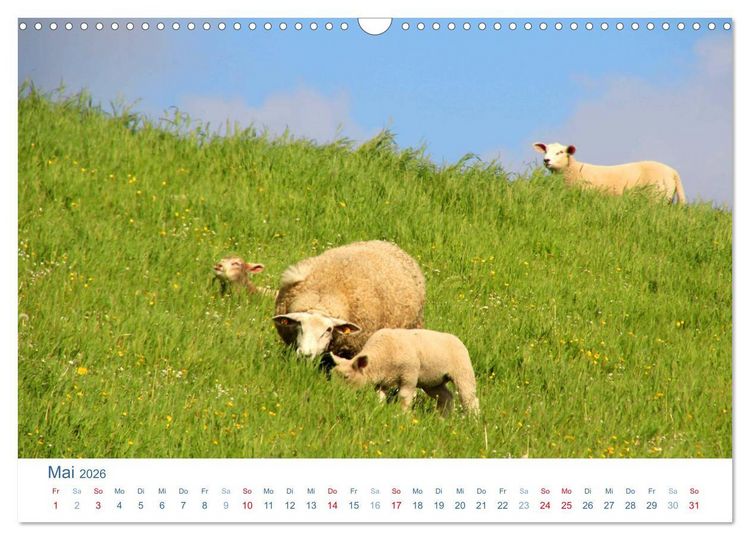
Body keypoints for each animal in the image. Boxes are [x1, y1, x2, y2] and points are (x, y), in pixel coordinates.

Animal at [331, 328, 480, 416]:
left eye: (346, 377)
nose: (337, 396)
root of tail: (457, 339)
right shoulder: (382, 382)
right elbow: (380, 397)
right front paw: (379, 410)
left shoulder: (409, 375)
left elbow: (404, 397)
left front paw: (403, 416)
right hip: (432, 382)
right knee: (446, 397)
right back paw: (443, 419)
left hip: (463, 371)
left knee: (469, 398)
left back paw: (473, 421)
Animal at [533, 142, 686, 204]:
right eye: (546, 151)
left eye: (560, 152)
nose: (546, 160)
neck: (573, 170)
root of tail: (673, 172)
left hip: (656, 197)